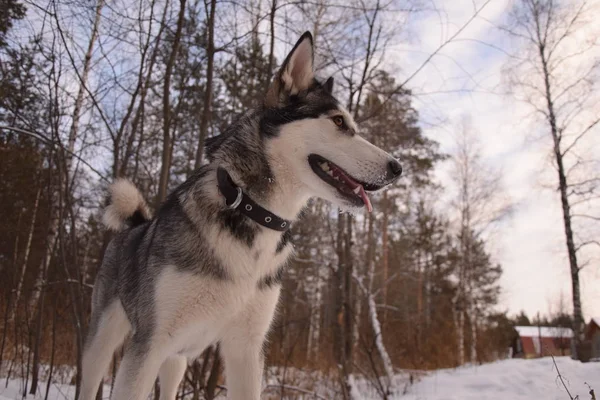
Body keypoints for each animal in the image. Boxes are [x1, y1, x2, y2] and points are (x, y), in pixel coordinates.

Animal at [81, 32, 404, 400]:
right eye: (338, 122)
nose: (397, 168)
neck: (253, 211)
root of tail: (137, 223)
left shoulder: (246, 350)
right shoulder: (148, 345)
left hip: (177, 359)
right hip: (103, 344)